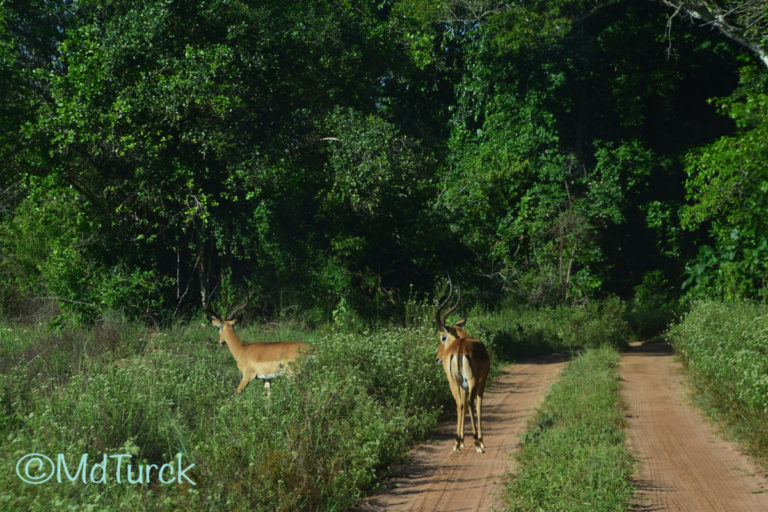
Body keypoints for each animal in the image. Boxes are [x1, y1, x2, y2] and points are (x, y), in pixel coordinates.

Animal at [436, 280, 488, 452]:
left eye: (443, 337)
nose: (438, 358)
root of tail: (459, 348)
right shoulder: (481, 382)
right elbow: (479, 405)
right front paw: (480, 440)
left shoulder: (462, 385)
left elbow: (463, 405)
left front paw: (461, 440)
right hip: (471, 381)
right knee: (471, 403)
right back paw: (477, 443)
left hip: (454, 381)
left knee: (460, 404)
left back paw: (457, 442)